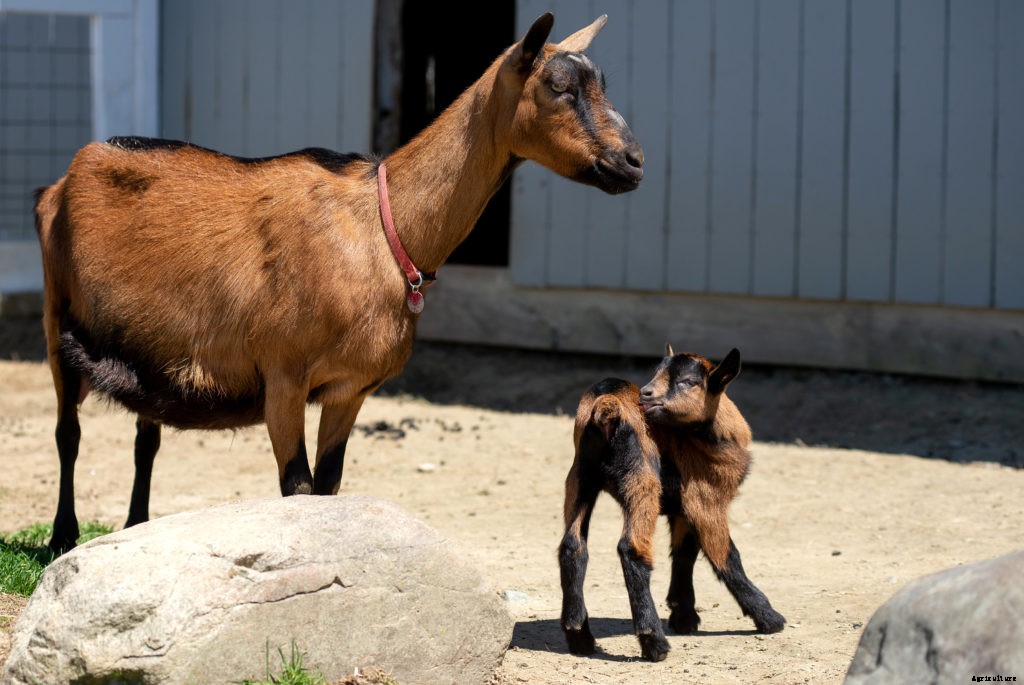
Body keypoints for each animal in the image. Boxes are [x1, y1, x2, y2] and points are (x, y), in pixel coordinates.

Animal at [33, 12, 644, 553]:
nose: (633, 162)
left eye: (602, 84)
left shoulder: (351, 388)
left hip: (144, 343)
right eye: (559, 88)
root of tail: (63, 178)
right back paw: (62, 537)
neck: (382, 230)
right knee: (68, 433)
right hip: (57, 316)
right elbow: (297, 488)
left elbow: (327, 487)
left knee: (147, 437)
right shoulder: (282, 377)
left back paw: (135, 527)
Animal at [559, 347, 785, 661]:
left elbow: (684, 554)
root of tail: (606, 404)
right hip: (642, 479)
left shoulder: (683, 508)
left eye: (687, 381)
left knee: (573, 545)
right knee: (631, 549)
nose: (646, 394)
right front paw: (769, 618)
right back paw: (654, 642)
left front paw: (684, 616)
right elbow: (726, 556)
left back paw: (579, 638)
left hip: (581, 477)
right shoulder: (706, 499)